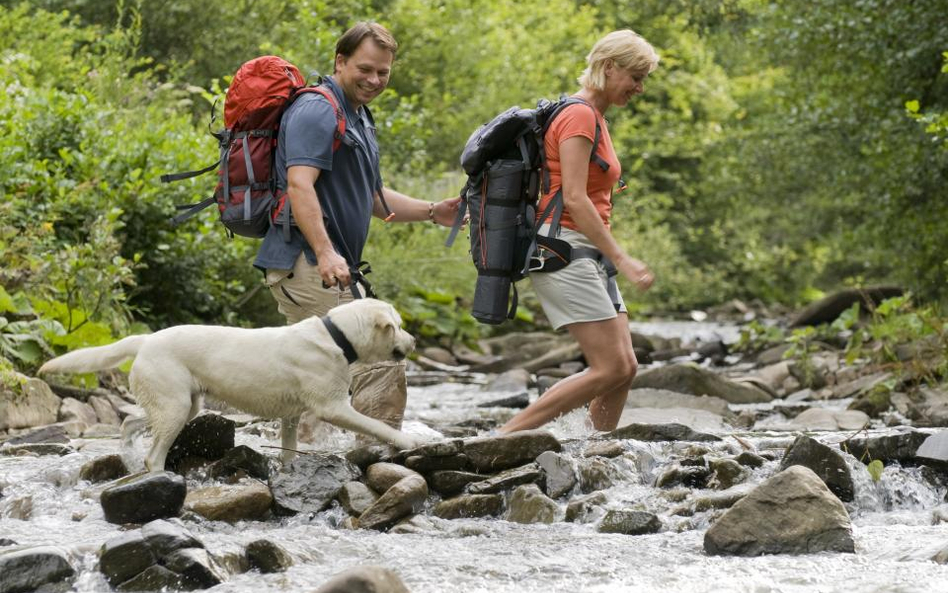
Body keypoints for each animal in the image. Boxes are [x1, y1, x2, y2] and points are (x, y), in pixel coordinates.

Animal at [38, 298, 422, 470]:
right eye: (399, 326)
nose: (414, 341)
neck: (337, 337)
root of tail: (145, 339)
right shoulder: (333, 408)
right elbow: (376, 425)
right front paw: (407, 441)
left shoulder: (292, 415)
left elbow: (288, 447)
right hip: (177, 406)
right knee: (153, 454)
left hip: (184, 404)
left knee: (131, 421)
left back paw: (127, 454)